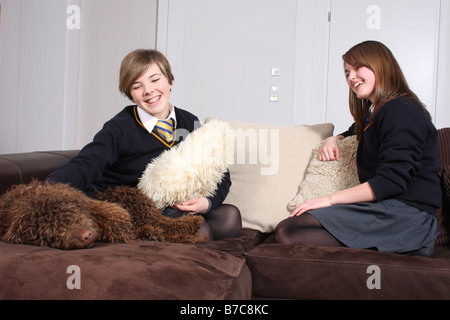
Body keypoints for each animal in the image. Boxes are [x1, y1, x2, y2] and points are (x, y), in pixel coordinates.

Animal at [0, 180, 207, 250]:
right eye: (49, 234)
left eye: (69, 215)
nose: (86, 236)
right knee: (162, 227)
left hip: (142, 206)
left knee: (165, 224)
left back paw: (195, 221)